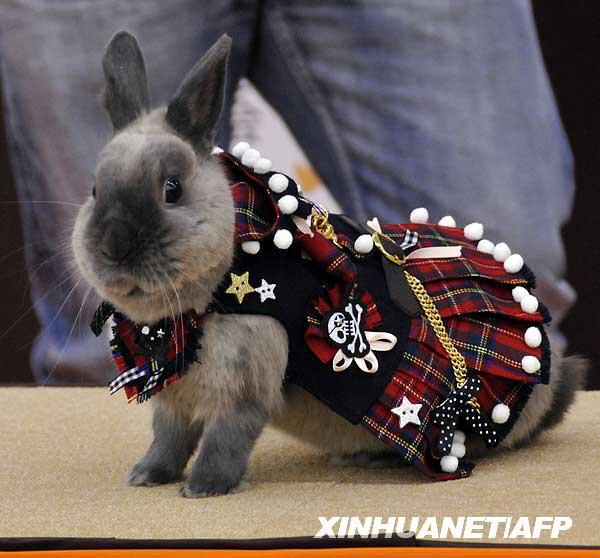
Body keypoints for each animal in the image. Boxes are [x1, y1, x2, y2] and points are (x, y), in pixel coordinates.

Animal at [72, 30, 588, 498]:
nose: (115, 247)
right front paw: (146, 477)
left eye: (172, 189)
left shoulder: (245, 384)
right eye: (94, 190)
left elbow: (225, 440)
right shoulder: (175, 400)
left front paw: (203, 489)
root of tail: (549, 379)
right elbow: (170, 440)